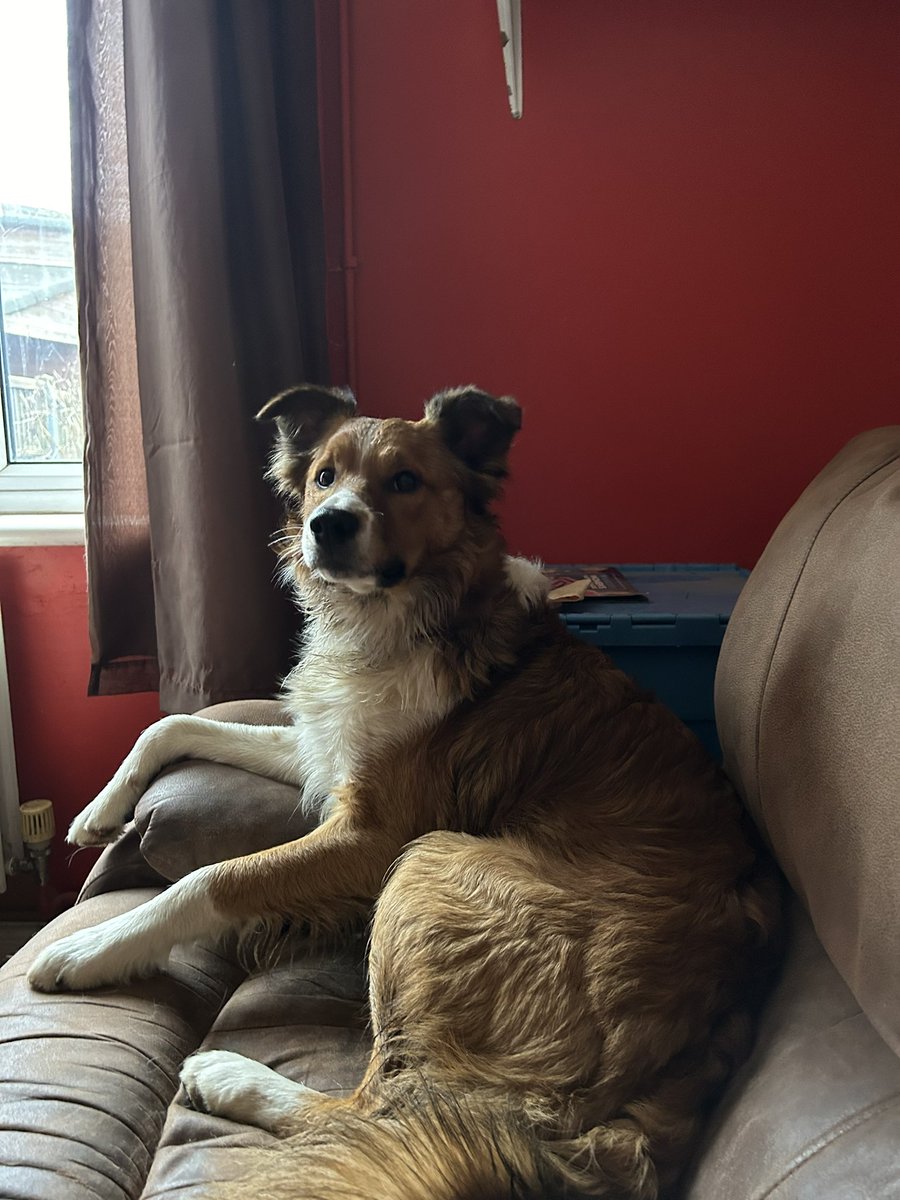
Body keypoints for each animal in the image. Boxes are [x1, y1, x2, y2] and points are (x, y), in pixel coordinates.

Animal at [28, 388, 782, 1195]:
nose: (329, 524)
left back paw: (230, 1076)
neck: (399, 617)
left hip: (431, 861)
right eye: (324, 476)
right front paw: (98, 813)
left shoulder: (373, 839)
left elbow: (209, 878)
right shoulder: (328, 754)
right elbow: (174, 724)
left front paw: (92, 947)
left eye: (406, 481)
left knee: (380, 1108)